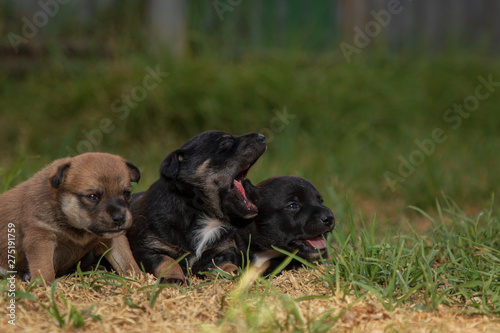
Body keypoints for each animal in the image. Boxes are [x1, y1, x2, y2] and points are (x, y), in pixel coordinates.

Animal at [0, 152, 143, 284]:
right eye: (92, 196)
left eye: (127, 194)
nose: (120, 218)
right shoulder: (41, 237)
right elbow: (44, 267)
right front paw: (45, 285)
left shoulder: (113, 238)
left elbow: (126, 259)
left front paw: (138, 277)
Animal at [128, 130, 266, 280]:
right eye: (226, 143)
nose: (262, 137)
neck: (203, 212)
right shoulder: (148, 249)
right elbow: (167, 261)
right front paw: (174, 278)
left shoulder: (221, 251)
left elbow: (226, 265)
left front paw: (237, 274)